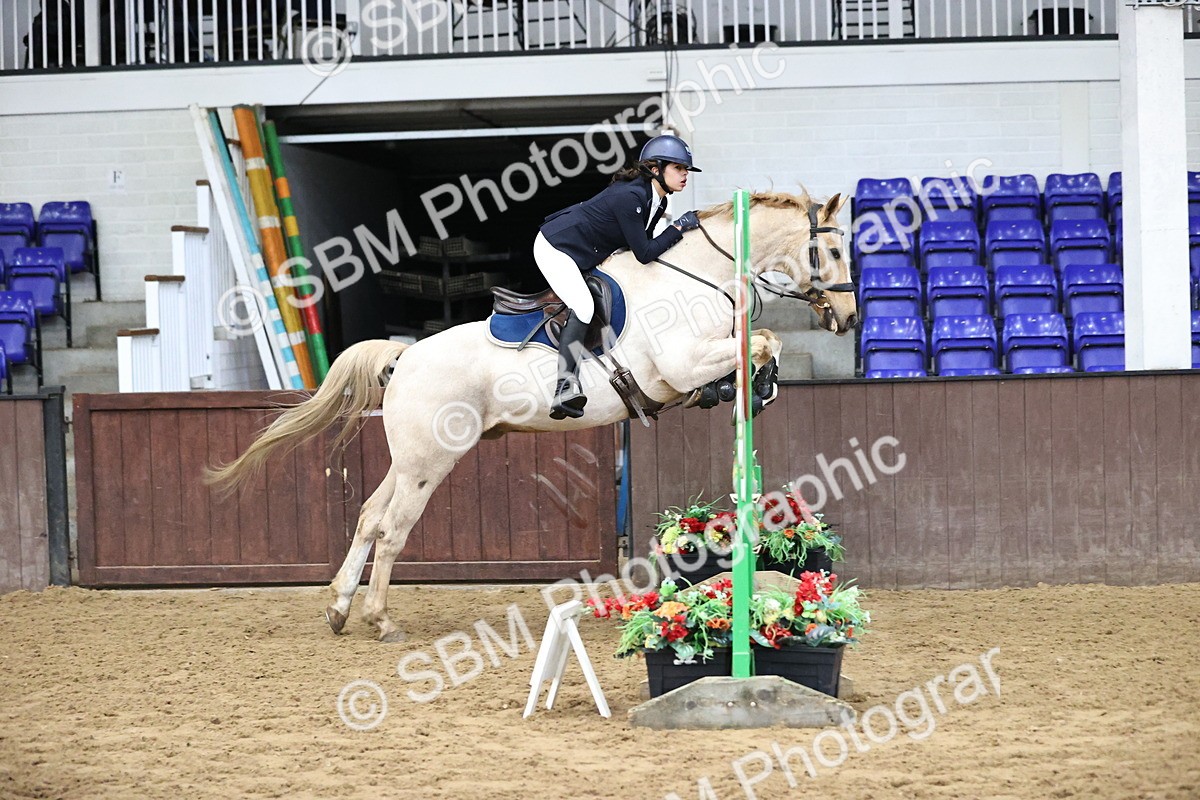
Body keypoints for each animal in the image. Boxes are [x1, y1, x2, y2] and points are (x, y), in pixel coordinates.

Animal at [206, 190, 858, 642]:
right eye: (831, 249)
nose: (848, 318)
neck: (697, 274)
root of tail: (405, 354)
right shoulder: (680, 363)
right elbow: (763, 340)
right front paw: (757, 382)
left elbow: (763, 341)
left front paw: (751, 388)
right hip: (431, 462)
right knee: (392, 530)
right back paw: (380, 619)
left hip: (409, 459)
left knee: (368, 518)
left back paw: (340, 608)